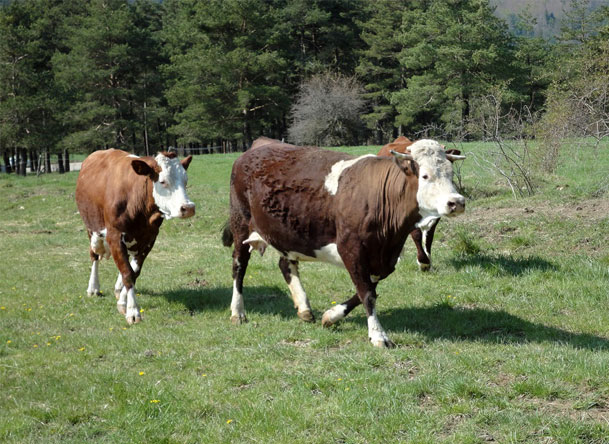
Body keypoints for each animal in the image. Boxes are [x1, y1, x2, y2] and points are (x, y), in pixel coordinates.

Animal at [75, 148, 195, 322]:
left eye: (185, 181)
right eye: (163, 181)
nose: (188, 207)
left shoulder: (149, 239)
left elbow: (134, 272)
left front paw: (123, 302)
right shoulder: (114, 236)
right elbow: (127, 273)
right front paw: (132, 311)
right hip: (92, 230)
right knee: (94, 255)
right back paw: (93, 287)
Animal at [378, 137, 464, 272]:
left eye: (451, 173)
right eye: (424, 176)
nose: (456, 202)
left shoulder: (436, 216)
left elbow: (428, 238)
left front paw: (429, 261)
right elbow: (417, 235)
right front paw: (423, 262)